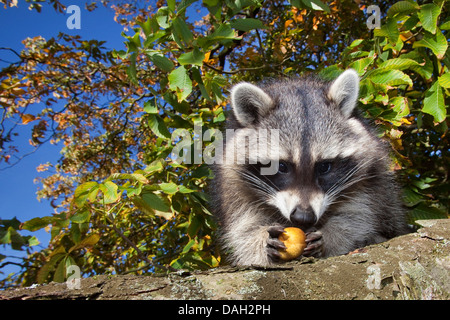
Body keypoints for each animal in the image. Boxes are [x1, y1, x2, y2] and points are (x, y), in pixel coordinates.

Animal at [212, 70, 412, 268]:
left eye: (324, 166)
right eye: (282, 166)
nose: (303, 217)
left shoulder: (369, 179)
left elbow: (357, 217)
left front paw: (331, 237)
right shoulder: (235, 187)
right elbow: (244, 229)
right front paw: (260, 240)